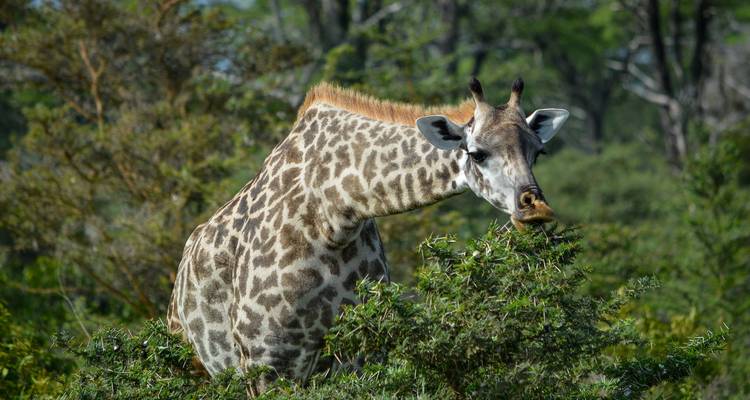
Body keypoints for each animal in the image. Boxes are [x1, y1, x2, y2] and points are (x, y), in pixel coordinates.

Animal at [167, 77, 569, 389]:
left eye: (539, 152)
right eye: (477, 153)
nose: (534, 208)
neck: (333, 214)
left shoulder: (358, 355)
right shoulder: (266, 361)